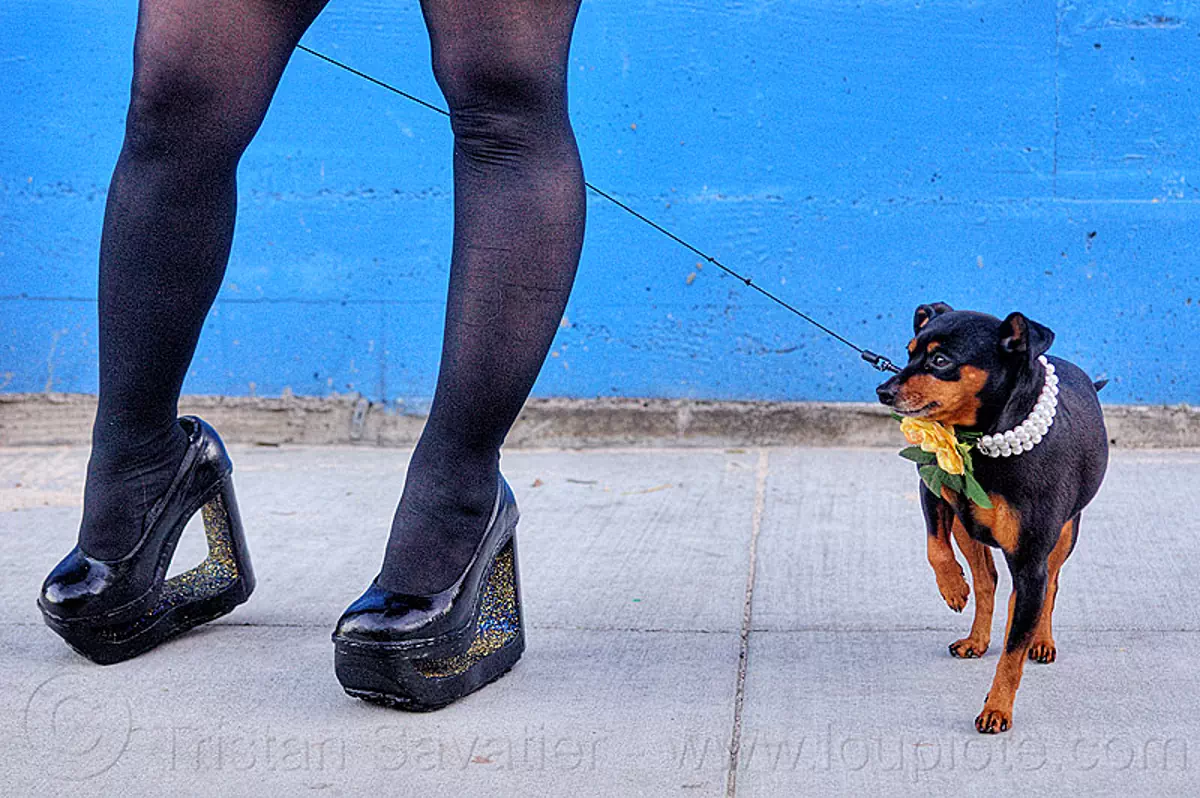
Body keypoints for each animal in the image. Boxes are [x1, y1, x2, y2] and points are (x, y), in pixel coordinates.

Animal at [873, 302, 1104, 729]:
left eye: (940, 361)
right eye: (909, 352)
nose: (884, 391)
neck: (981, 442)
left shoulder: (1031, 562)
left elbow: (1013, 655)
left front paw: (996, 709)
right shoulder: (934, 489)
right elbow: (935, 548)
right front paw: (952, 587)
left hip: (1063, 536)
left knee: (1048, 587)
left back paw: (1041, 640)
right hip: (968, 526)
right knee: (988, 581)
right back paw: (977, 637)